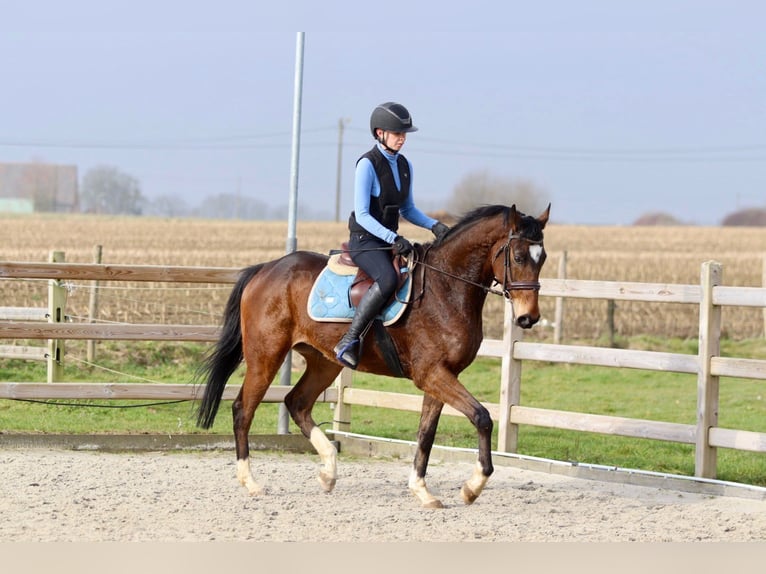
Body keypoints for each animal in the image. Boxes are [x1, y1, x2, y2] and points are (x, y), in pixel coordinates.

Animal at [198, 202, 552, 508]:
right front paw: (472, 487)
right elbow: (482, 417)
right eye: (518, 256)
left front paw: (422, 491)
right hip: (266, 356)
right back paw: (251, 482)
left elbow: (426, 434)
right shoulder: (431, 374)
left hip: (324, 362)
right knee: (244, 409)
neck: (446, 288)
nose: (528, 318)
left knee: (297, 403)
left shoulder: (441, 375)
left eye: (543, 257)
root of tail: (265, 269)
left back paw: (328, 472)